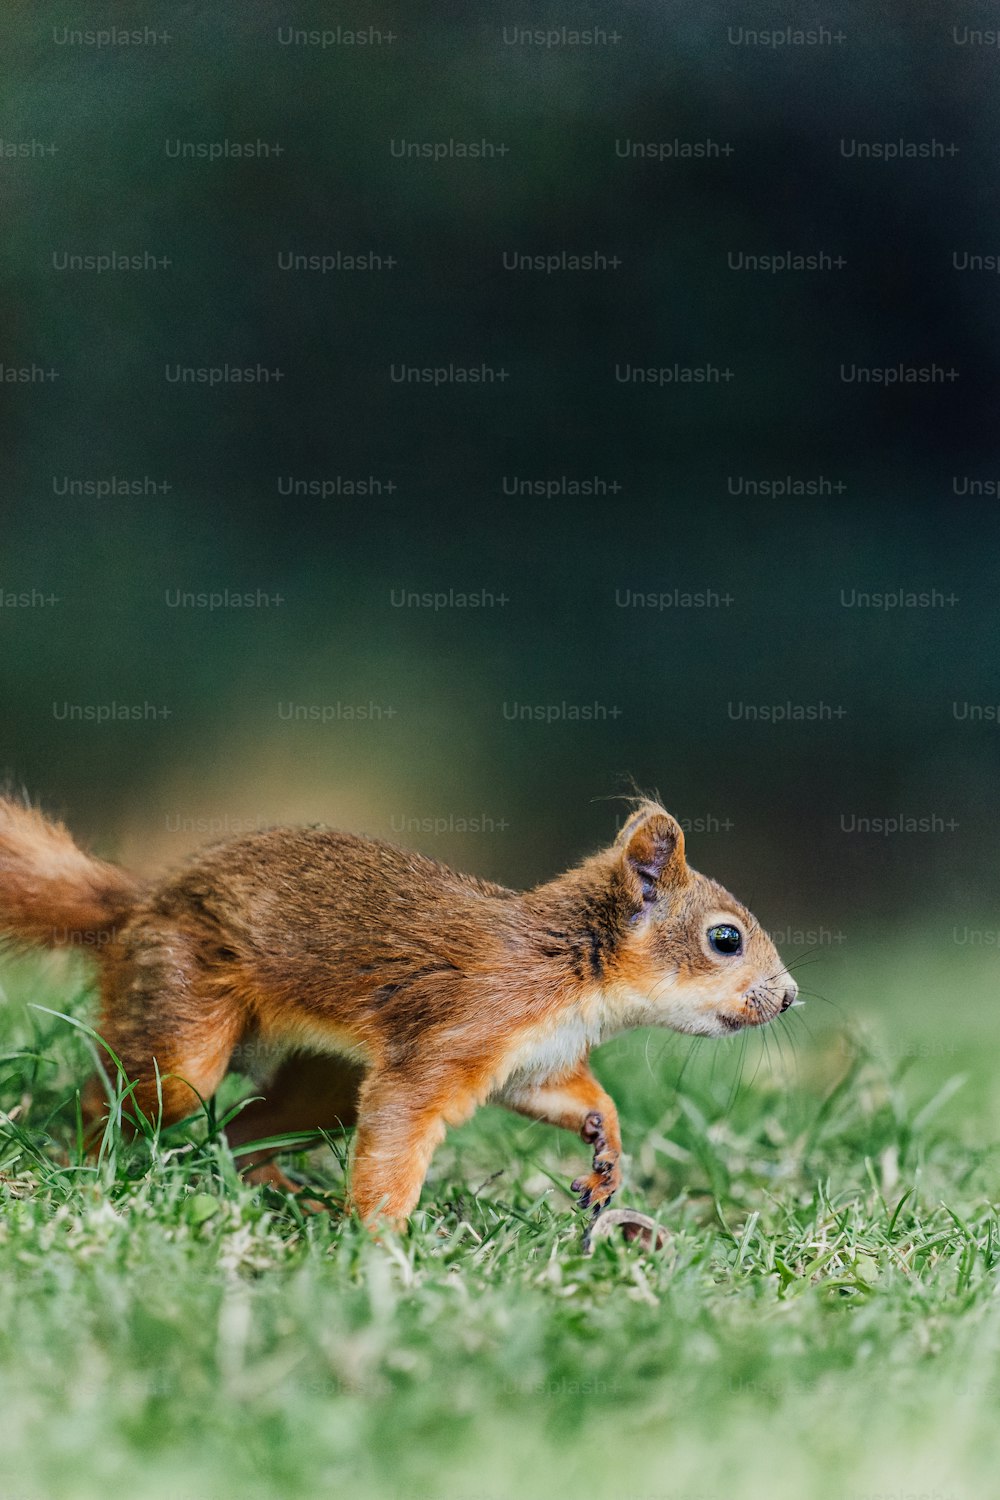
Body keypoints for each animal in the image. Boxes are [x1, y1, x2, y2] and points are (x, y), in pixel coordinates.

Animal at [0, 798, 797, 1230]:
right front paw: (384, 1240)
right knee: (141, 1092)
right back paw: (89, 1157)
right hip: (181, 1013)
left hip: (323, 1083)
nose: (789, 996)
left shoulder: (531, 1061)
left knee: (244, 1132)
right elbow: (403, 1122)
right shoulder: (468, 1023)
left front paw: (607, 1152)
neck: (576, 977)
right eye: (725, 939)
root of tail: (140, 906)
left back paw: (290, 1197)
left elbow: (568, 1096)